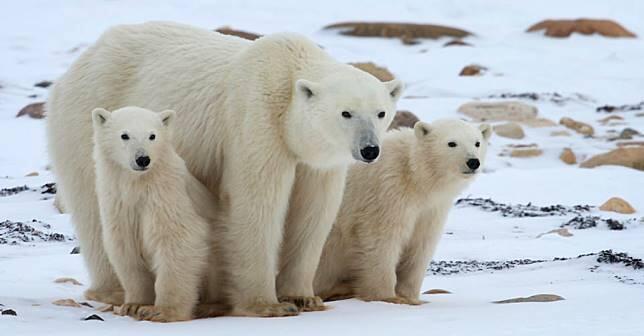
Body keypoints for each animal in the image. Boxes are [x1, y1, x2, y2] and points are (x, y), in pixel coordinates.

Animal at [92, 106, 219, 322]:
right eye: (124, 135)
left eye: (152, 135)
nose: (143, 159)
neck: (138, 184)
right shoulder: (118, 204)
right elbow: (126, 249)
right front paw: (133, 305)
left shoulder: (166, 196)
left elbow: (177, 240)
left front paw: (161, 311)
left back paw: (210, 306)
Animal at [314, 119, 490, 304]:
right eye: (451, 143)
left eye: (477, 143)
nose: (473, 162)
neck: (414, 175)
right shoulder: (387, 191)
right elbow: (381, 240)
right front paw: (387, 297)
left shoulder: (431, 209)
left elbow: (420, 245)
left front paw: (410, 296)